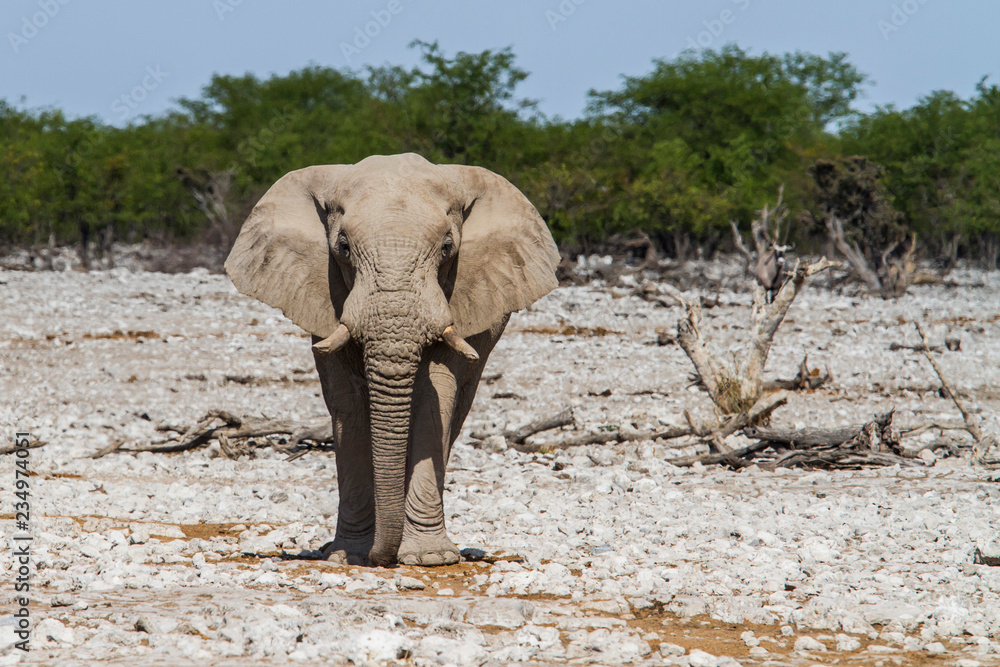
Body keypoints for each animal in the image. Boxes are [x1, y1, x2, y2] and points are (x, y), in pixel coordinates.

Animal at [225, 153, 559, 567]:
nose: (378, 558)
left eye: (448, 247)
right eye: (343, 247)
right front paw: (347, 555)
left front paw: (430, 558)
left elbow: (434, 400)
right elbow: (349, 405)